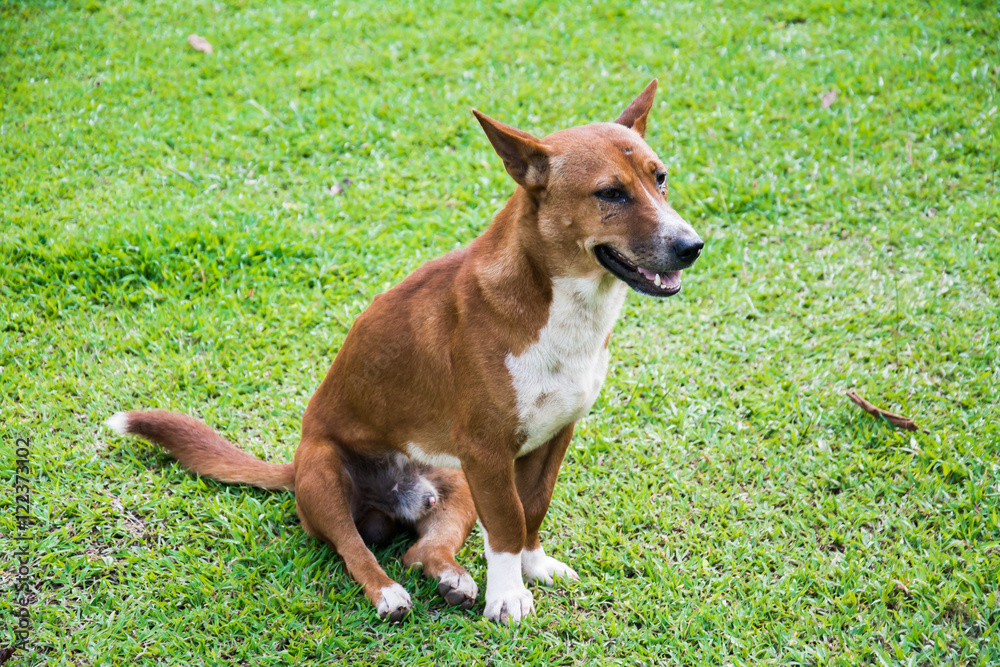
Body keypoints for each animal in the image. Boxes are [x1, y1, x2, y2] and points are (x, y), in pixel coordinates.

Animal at [105, 79, 704, 628]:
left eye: (660, 178)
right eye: (610, 194)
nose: (692, 246)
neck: (562, 302)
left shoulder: (554, 435)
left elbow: (532, 508)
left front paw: (532, 568)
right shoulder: (488, 453)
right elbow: (507, 525)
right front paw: (509, 595)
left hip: (458, 487)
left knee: (420, 551)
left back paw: (454, 578)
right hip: (326, 474)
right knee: (355, 550)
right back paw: (388, 593)